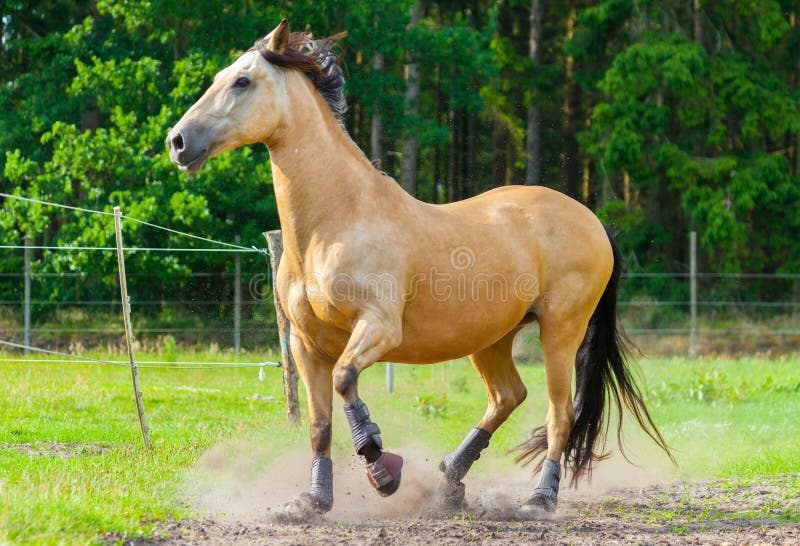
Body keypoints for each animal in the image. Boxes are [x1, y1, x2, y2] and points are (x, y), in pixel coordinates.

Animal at [167, 19, 672, 516]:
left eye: (242, 81)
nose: (178, 141)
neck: (335, 223)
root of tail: (594, 221)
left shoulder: (378, 328)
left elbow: (345, 379)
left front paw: (382, 470)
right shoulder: (306, 346)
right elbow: (318, 424)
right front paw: (313, 500)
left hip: (561, 331)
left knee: (558, 414)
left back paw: (538, 499)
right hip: (491, 338)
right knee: (508, 396)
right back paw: (450, 479)